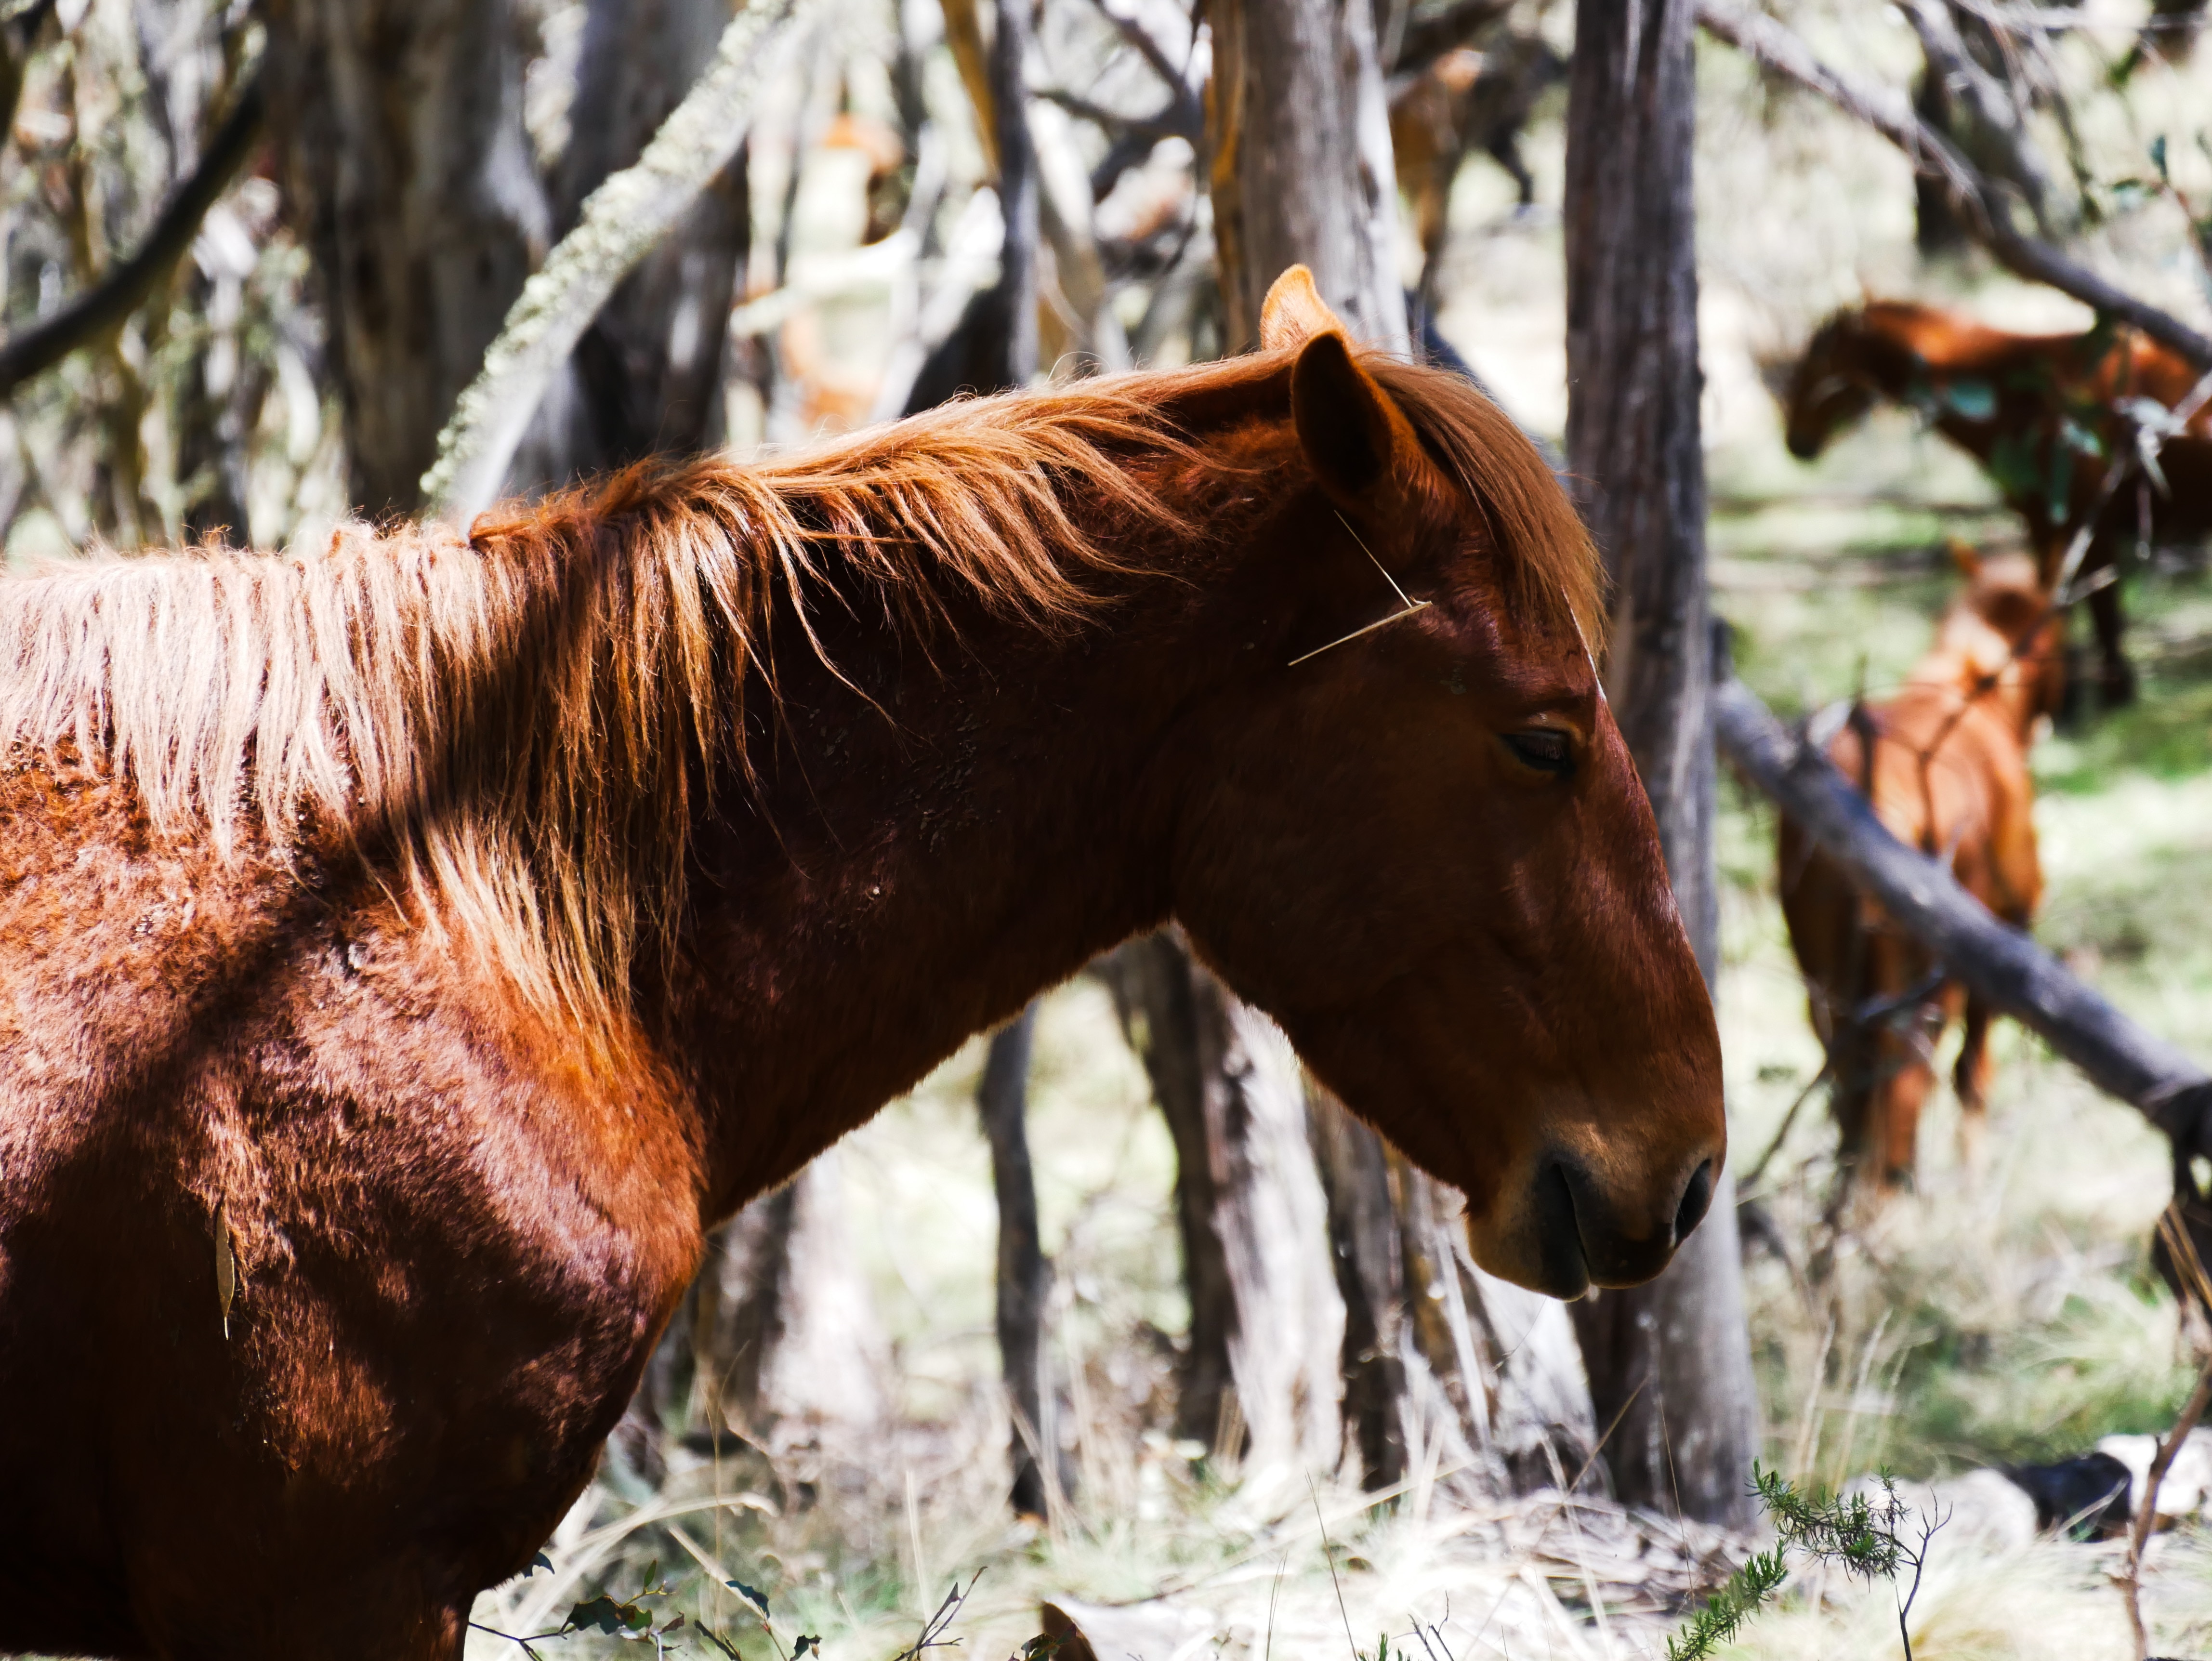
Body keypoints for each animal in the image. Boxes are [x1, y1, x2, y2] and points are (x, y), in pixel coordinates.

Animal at [1778, 547, 2065, 1190]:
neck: (1968, 692)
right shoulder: (2007, 934)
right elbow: (1973, 1074)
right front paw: (1973, 1171)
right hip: (1923, 991)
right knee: (1904, 1090)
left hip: (1828, 986)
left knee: (1851, 1090)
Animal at [1783, 299, 2212, 710]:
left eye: (1818, 365)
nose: (1796, 442)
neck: (2025, 396)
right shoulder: (2044, 523)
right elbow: (2056, 604)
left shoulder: (2086, 523)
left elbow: (2101, 612)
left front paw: (2110, 693)